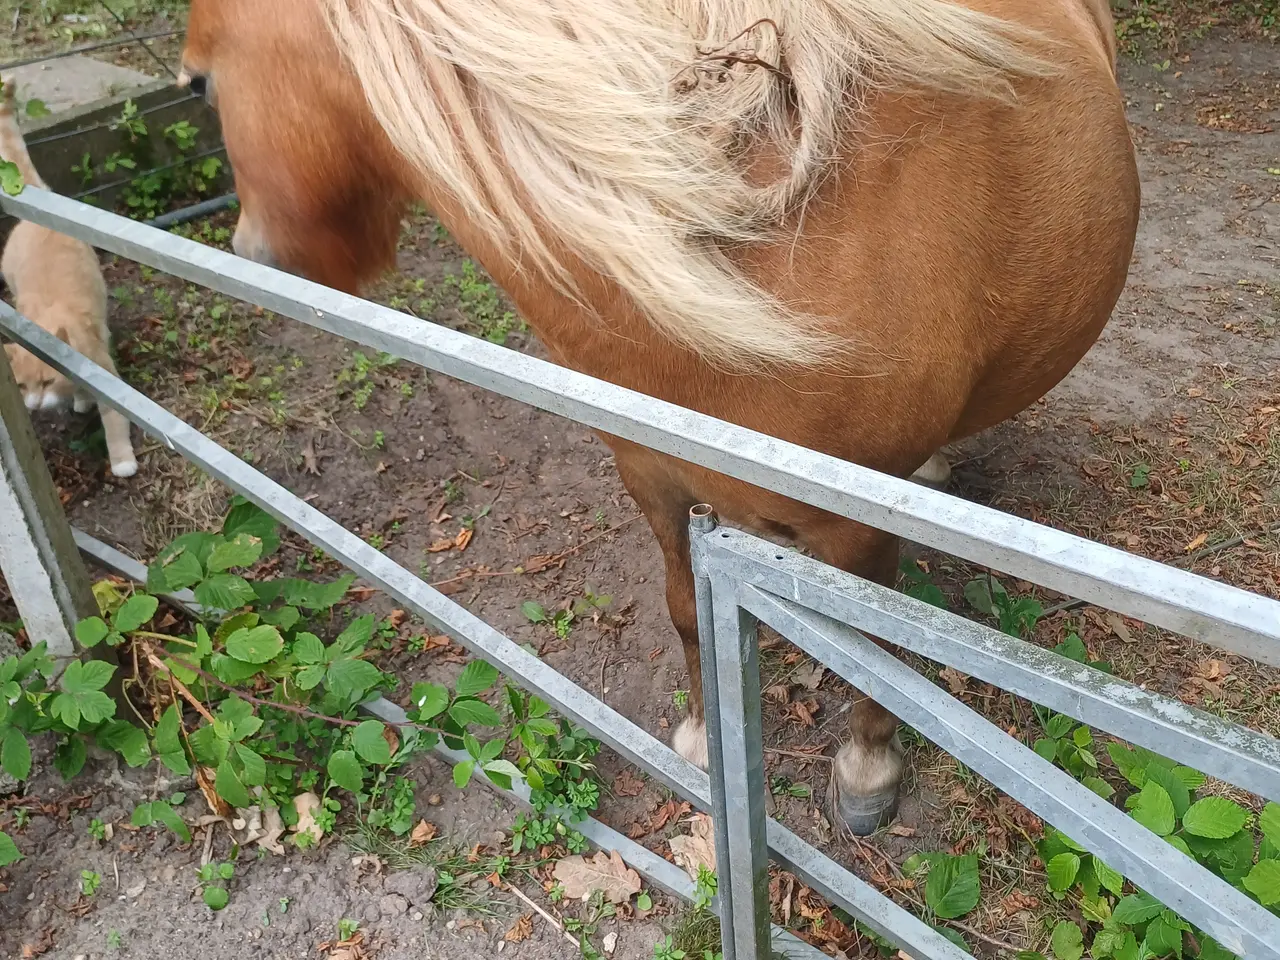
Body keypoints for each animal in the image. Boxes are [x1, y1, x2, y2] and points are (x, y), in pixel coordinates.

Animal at [180, 0, 1139, 834]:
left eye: (198, 85)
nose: (249, 251)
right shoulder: (654, 479)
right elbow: (685, 609)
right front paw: (704, 735)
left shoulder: (855, 529)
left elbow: (868, 655)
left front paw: (868, 773)